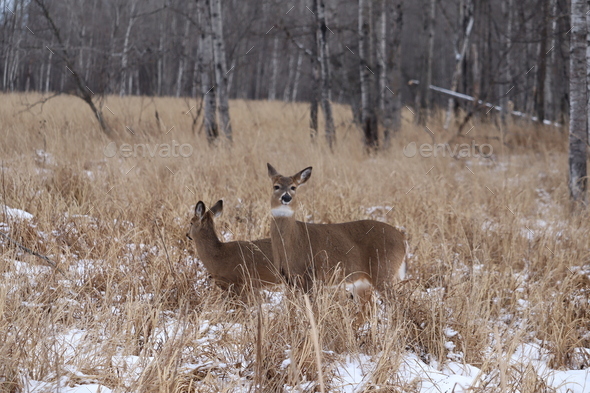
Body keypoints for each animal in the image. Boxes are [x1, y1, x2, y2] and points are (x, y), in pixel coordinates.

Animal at [268, 162, 408, 304]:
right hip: (363, 282)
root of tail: (402, 238)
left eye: (293, 187)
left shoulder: (310, 276)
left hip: (383, 270)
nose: (286, 197)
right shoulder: (288, 280)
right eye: (276, 186)